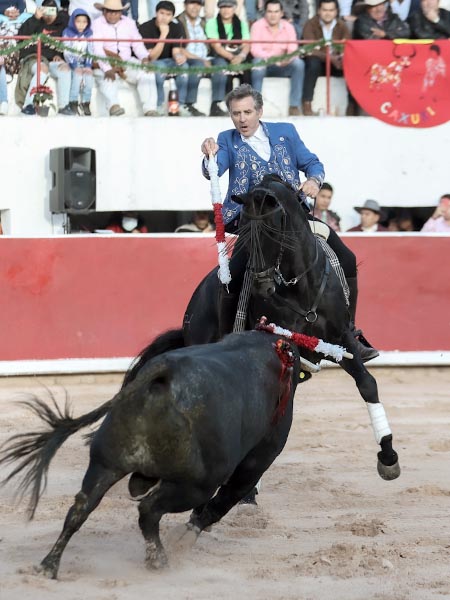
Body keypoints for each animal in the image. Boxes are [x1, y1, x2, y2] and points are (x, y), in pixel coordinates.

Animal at [2, 330, 302, 580]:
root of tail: (163, 375)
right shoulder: (255, 463)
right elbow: (220, 504)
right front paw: (184, 539)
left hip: (104, 464)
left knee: (80, 509)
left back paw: (48, 567)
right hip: (196, 485)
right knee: (149, 510)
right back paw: (159, 560)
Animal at [126, 175, 400, 482]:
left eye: (272, 232)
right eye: (243, 229)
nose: (262, 285)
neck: (301, 286)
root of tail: (195, 301)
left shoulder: (341, 337)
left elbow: (367, 384)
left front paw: (388, 457)